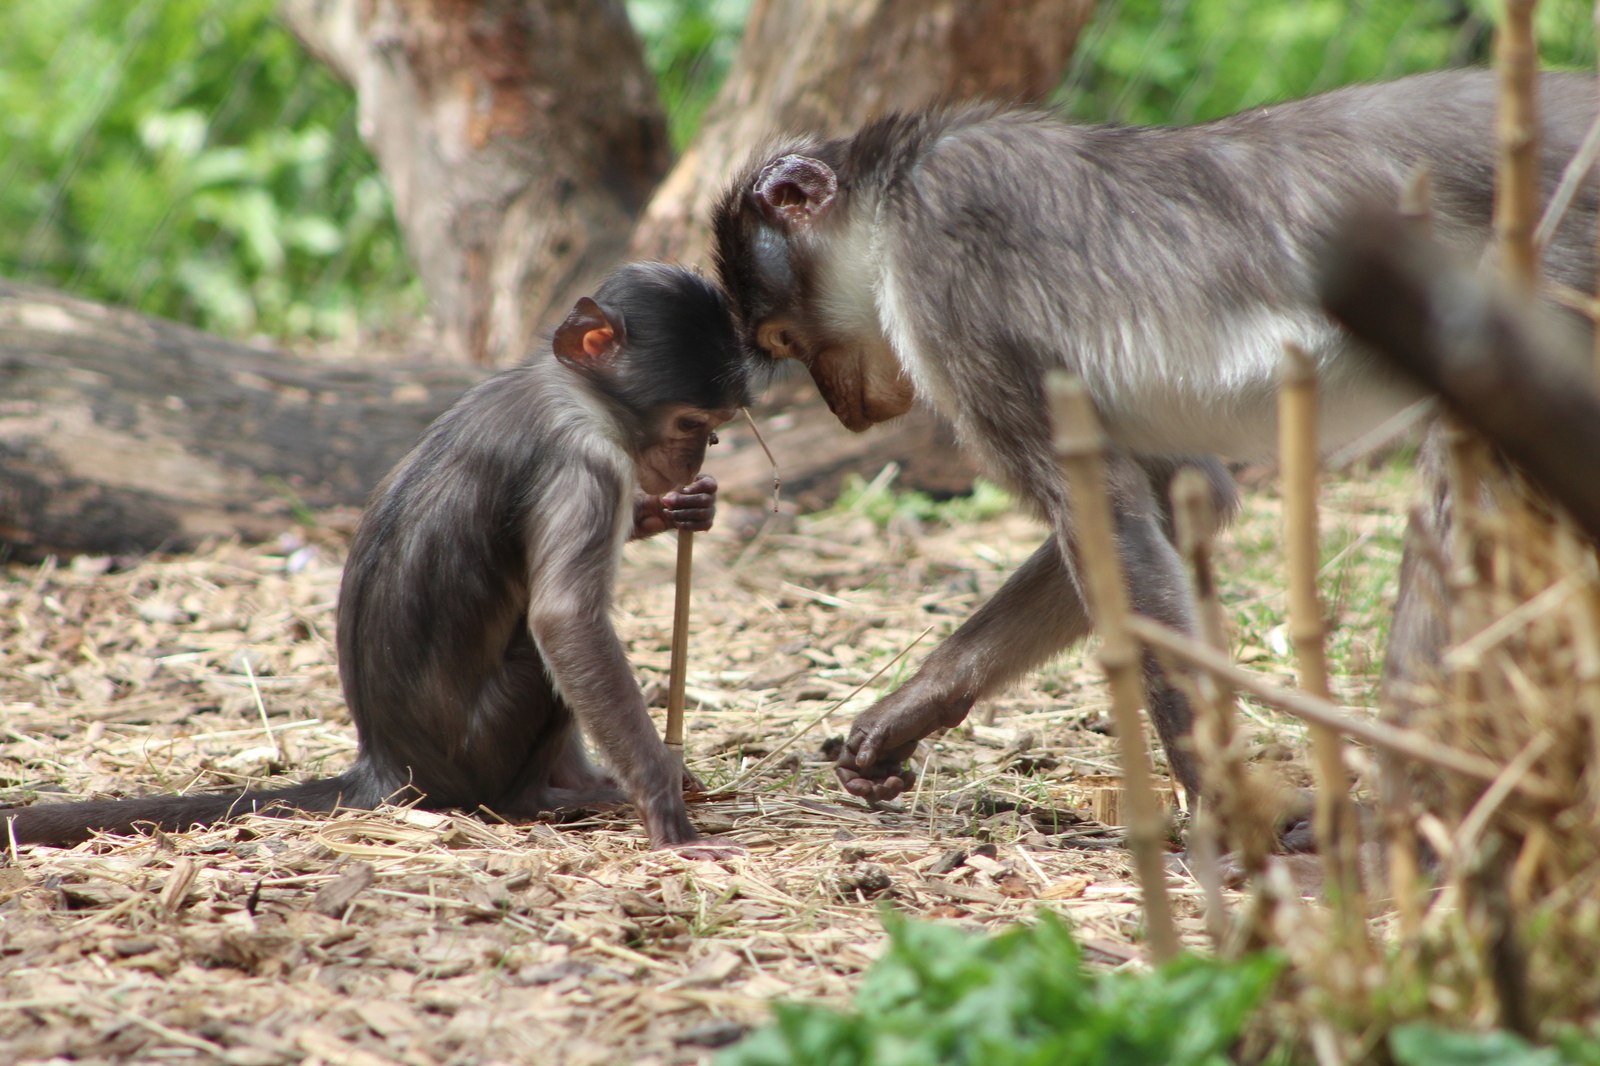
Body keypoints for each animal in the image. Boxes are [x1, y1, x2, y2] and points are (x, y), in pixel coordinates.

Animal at [1, 260, 748, 851]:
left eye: (714, 430)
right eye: (691, 424)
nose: (695, 458)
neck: (568, 388)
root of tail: (387, 763)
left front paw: (681, 510)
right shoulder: (584, 461)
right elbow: (566, 621)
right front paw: (664, 807)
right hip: (479, 750)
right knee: (541, 659)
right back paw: (545, 797)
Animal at [713, 70, 1600, 806]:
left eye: (790, 340)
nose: (842, 408)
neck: (896, 195)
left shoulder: (944, 261)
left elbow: (1107, 514)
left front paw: (1230, 811)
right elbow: (1177, 499)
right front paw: (907, 714)